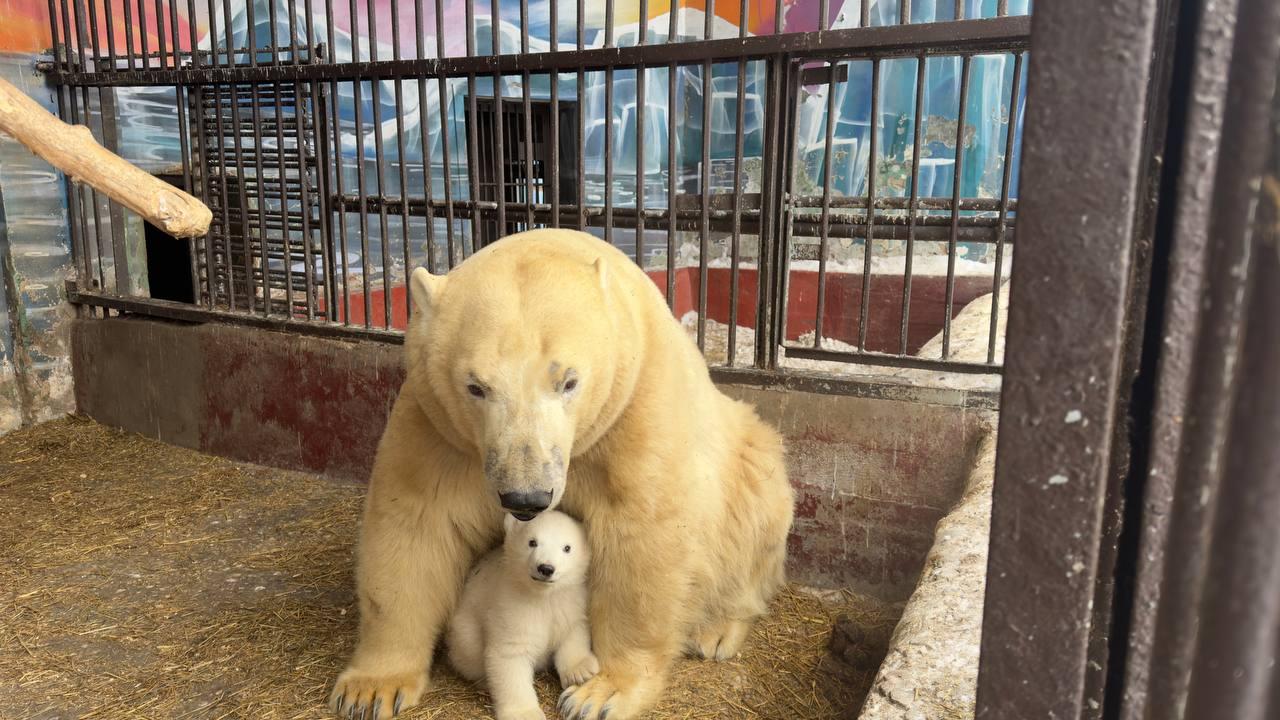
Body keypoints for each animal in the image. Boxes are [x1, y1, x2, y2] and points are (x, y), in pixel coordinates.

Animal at [445, 509, 593, 717]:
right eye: (532, 542)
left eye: (567, 548)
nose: (546, 568)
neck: (541, 595)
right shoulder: (512, 606)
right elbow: (510, 654)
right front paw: (525, 713)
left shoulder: (568, 601)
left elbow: (572, 631)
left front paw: (581, 672)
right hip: (464, 629)